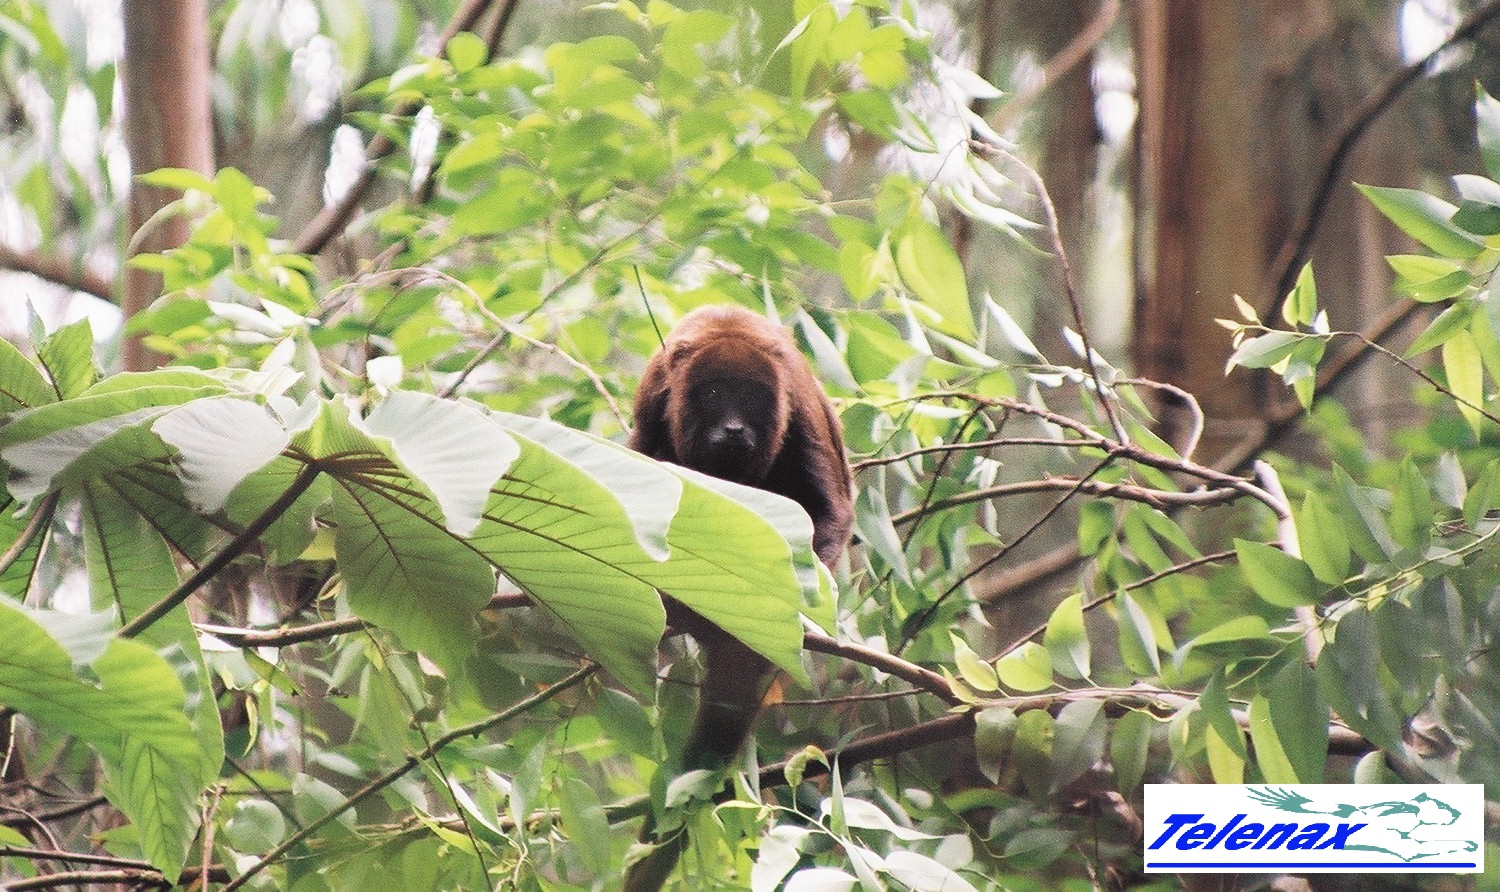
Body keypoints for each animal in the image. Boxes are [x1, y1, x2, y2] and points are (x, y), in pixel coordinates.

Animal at [623, 305, 853, 890]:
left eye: (749, 397)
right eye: (712, 393)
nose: (733, 427)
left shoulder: (795, 403)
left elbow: (828, 510)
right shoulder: (655, 397)